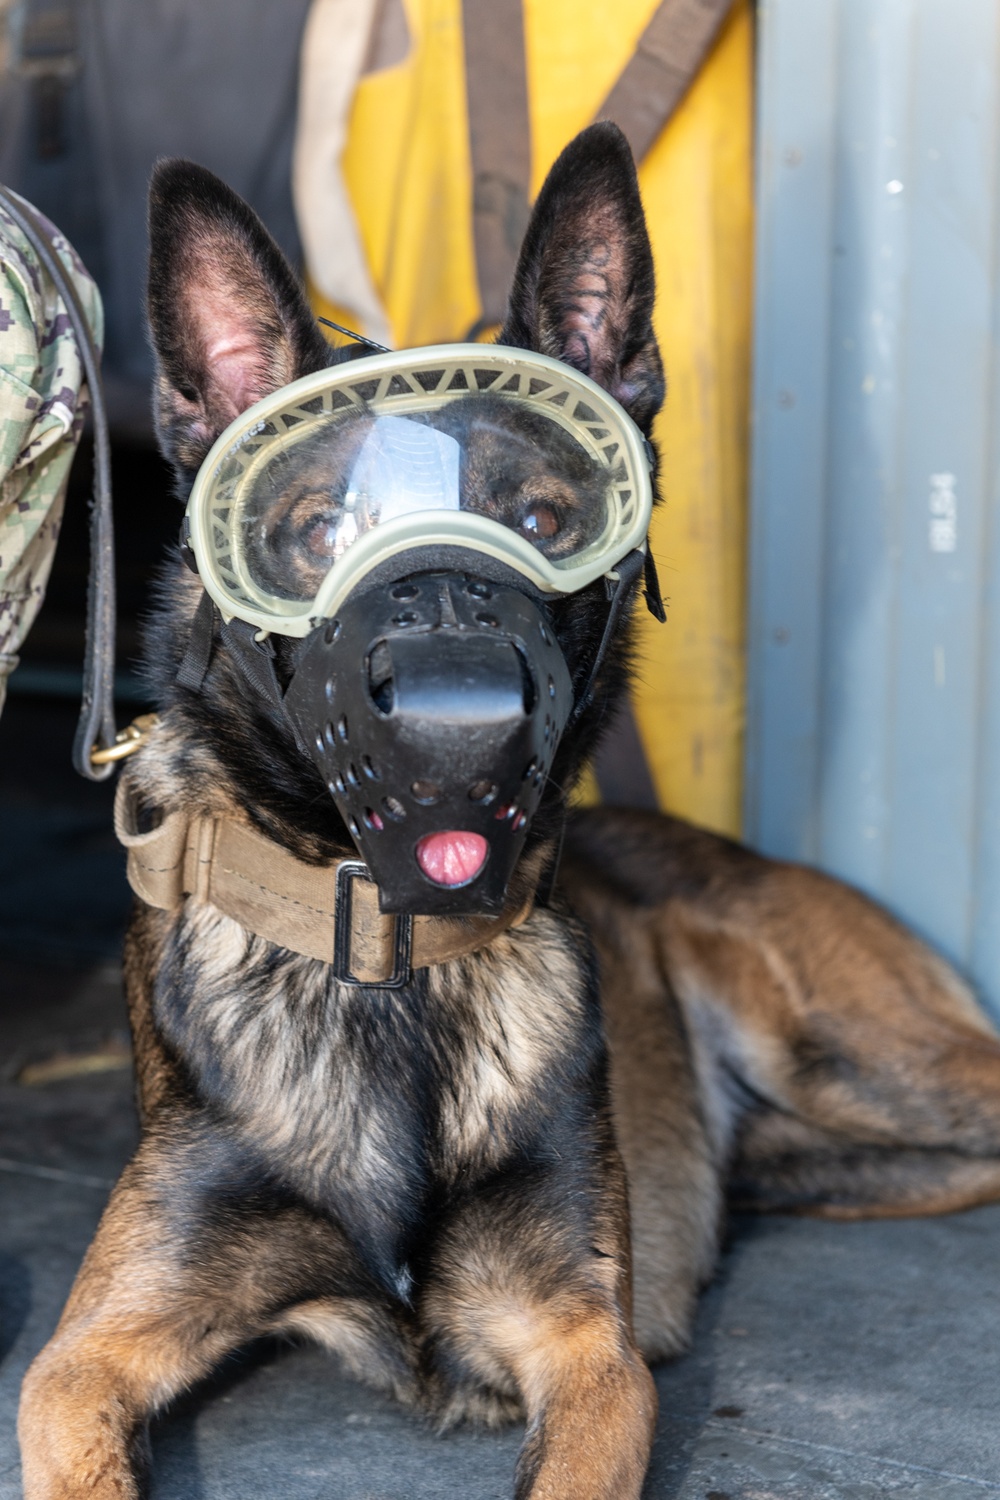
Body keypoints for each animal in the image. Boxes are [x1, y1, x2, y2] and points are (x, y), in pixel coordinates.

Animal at [21, 120, 1000, 1500]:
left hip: (866, 1066)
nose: (458, 714)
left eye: (544, 520)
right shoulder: (81, 1361)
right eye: (315, 534)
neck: (388, 976)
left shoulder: (589, 1358)